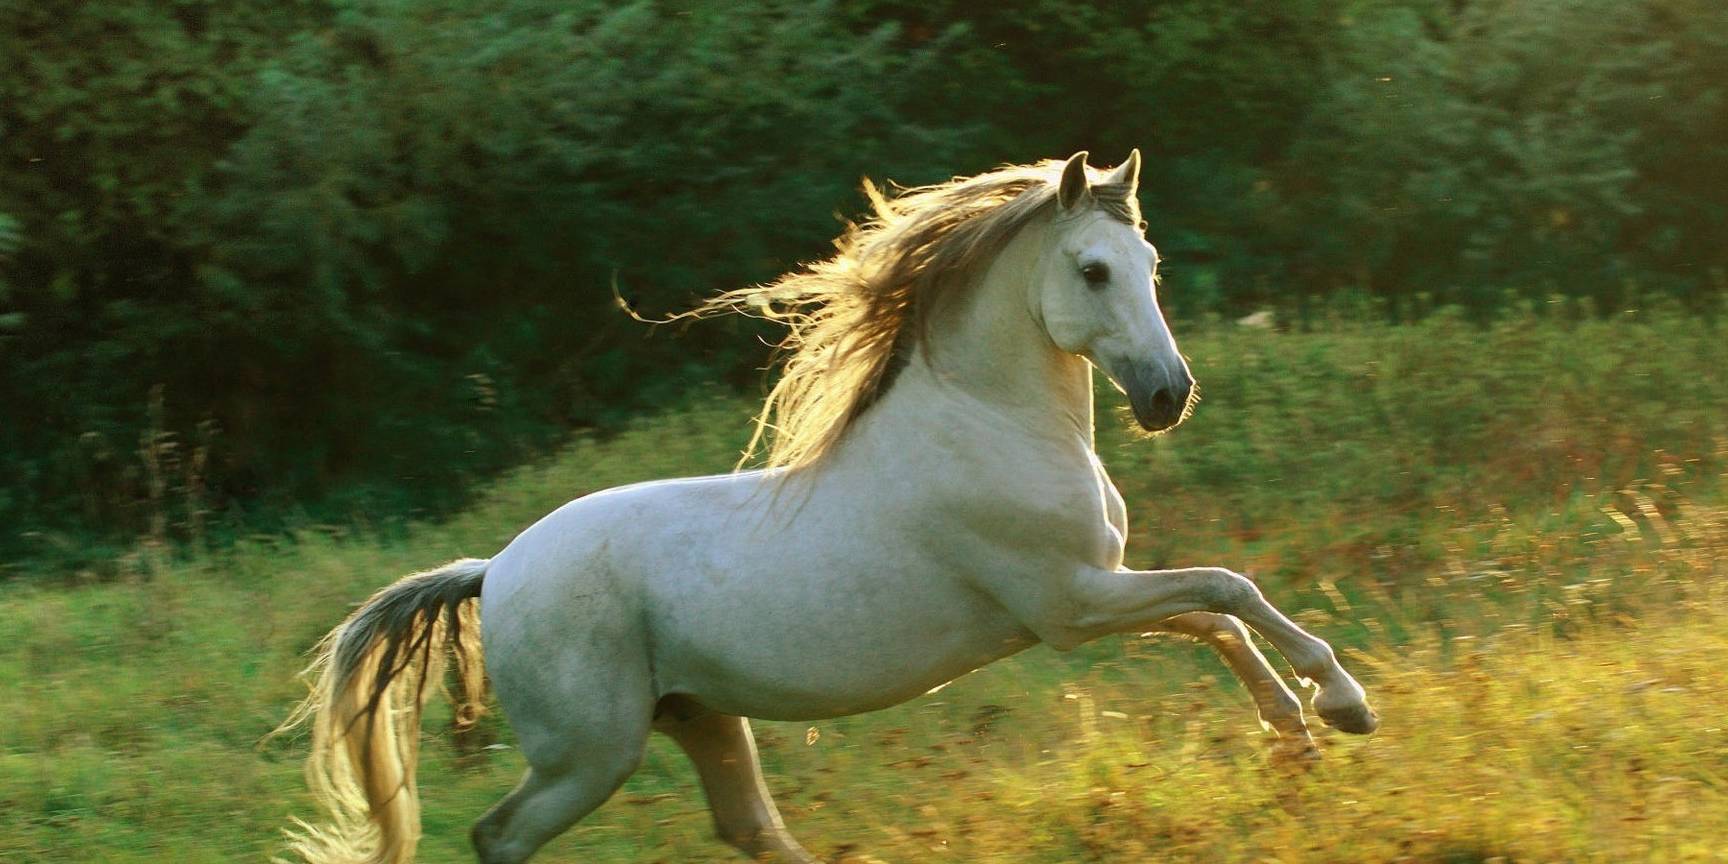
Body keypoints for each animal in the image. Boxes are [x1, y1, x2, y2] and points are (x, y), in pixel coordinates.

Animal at [277, 151, 1378, 864]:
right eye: (1094, 270)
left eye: (1148, 267)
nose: (1166, 397)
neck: (990, 423)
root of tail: (493, 570)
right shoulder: (1069, 605)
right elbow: (1228, 590)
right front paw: (1342, 704)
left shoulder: (1090, 595)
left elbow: (1217, 617)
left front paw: (1297, 736)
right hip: (588, 754)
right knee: (500, 836)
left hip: (698, 718)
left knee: (748, 829)